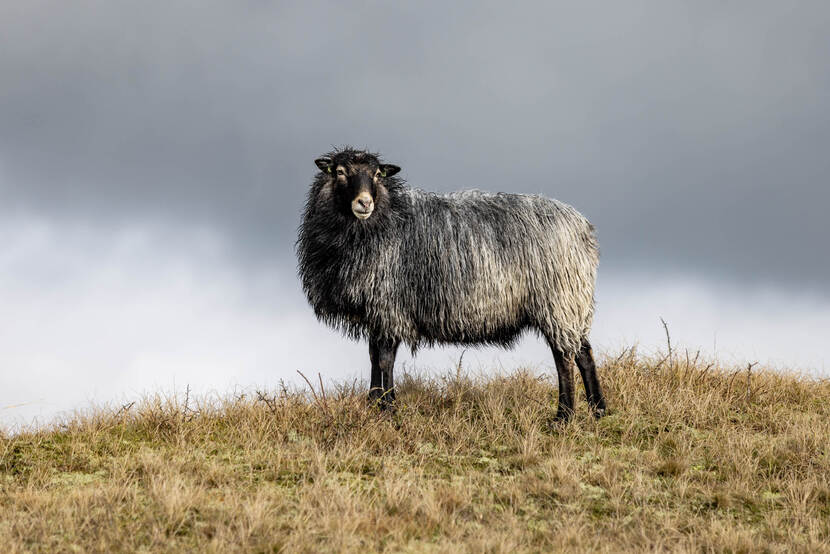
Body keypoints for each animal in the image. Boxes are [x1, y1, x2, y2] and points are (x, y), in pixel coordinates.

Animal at [296, 147, 608, 418]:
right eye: (339, 172)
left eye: (376, 175)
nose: (364, 203)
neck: (380, 221)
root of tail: (583, 228)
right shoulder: (377, 310)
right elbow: (375, 357)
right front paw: (374, 404)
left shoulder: (389, 305)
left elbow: (384, 359)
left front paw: (387, 409)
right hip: (571, 301)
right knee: (584, 352)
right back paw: (598, 410)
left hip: (558, 299)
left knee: (564, 357)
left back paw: (564, 416)